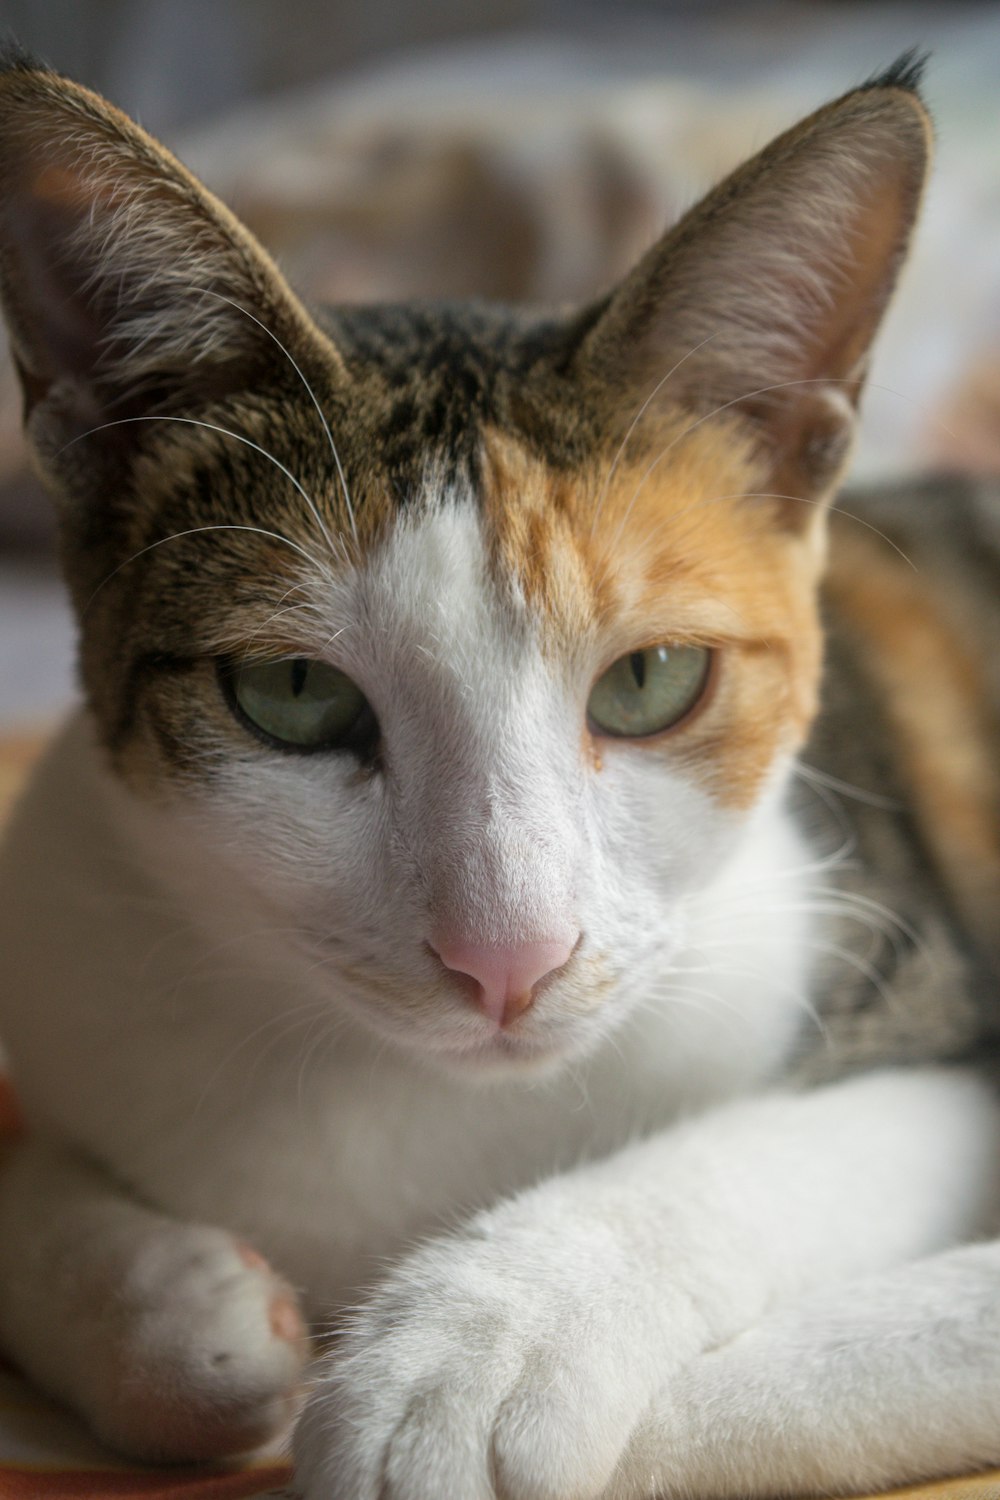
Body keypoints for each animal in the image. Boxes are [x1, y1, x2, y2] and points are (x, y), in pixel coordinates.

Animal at [1, 38, 1000, 1500]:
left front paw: (471, 1352)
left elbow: (770, 1187)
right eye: (293, 694)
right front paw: (178, 1306)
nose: (506, 959)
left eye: (650, 679)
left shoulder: (926, 1003)